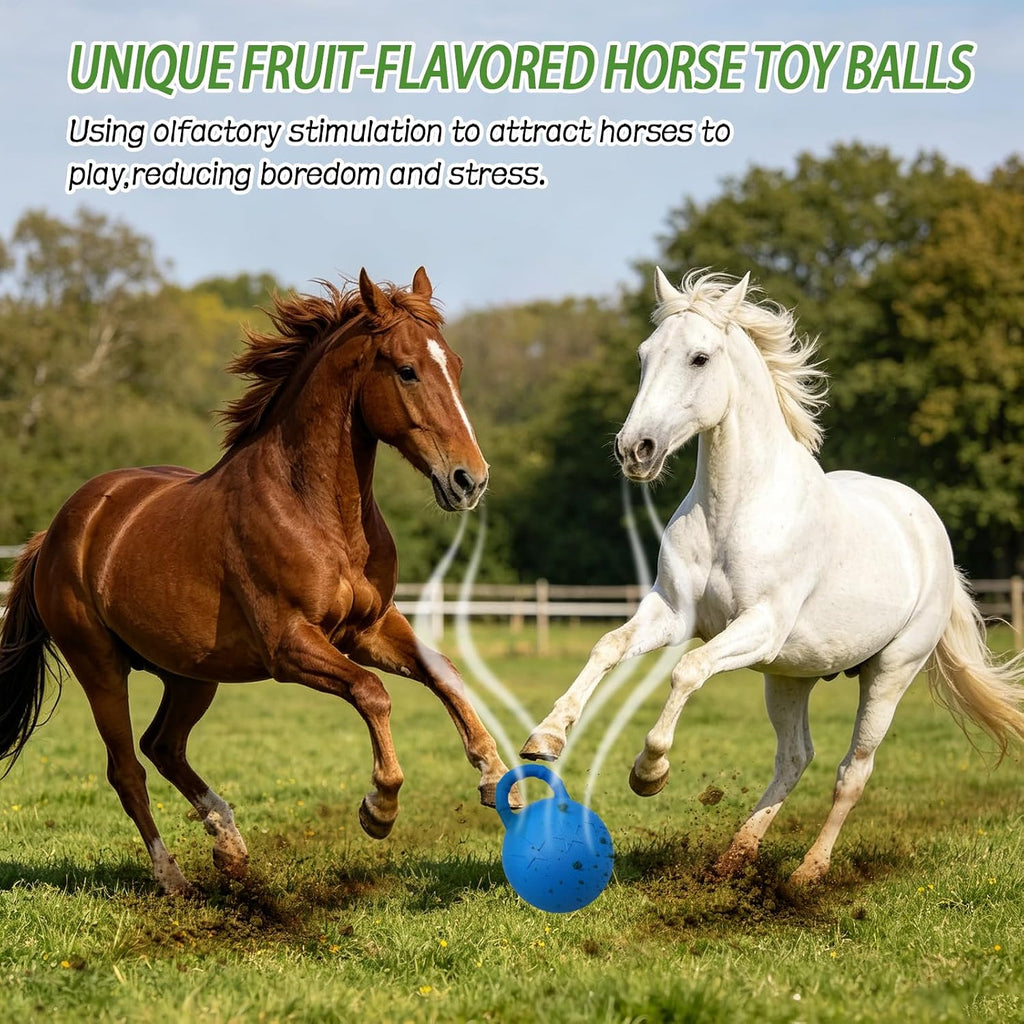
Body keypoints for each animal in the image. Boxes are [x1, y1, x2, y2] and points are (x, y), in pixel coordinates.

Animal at [0, 267, 514, 895]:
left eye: (456, 365)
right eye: (406, 369)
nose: (470, 480)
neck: (315, 509)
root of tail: (55, 532)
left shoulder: (368, 628)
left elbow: (442, 671)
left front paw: (493, 775)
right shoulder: (289, 646)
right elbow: (373, 692)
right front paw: (379, 808)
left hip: (191, 673)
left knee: (163, 746)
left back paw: (229, 845)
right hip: (99, 666)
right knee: (127, 768)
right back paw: (172, 877)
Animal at [522, 268, 1024, 886]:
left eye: (700, 358)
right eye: (644, 355)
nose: (634, 450)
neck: (734, 508)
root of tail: (931, 535)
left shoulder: (758, 625)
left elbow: (687, 671)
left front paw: (649, 771)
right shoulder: (672, 612)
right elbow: (608, 646)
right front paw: (545, 738)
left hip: (890, 671)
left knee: (852, 770)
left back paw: (808, 872)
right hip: (790, 675)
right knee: (795, 757)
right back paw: (735, 857)